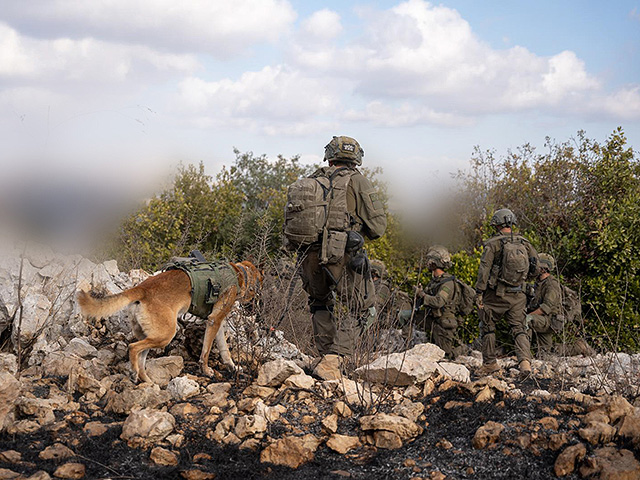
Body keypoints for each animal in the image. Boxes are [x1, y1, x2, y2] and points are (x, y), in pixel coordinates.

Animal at [76, 260, 262, 384]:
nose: (255, 308)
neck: (238, 273)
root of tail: (141, 289)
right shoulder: (213, 321)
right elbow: (206, 352)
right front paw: (206, 370)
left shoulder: (218, 323)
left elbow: (225, 350)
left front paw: (233, 367)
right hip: (166, 335)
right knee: (133, 348)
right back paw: (135, 374)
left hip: (151, 335)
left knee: (141, 357)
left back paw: (148, 382)